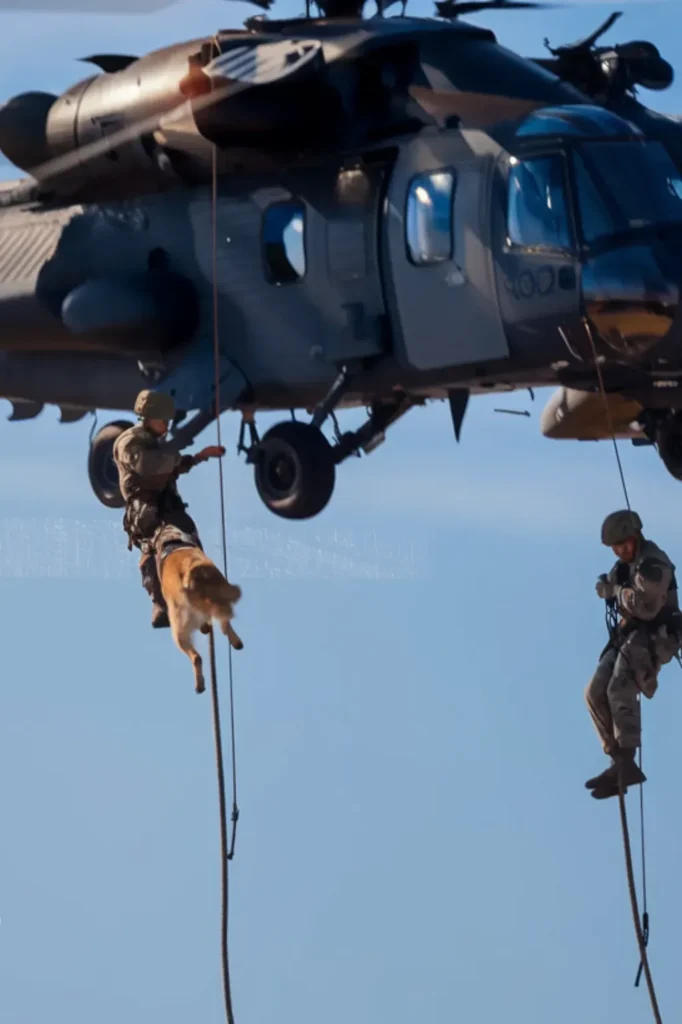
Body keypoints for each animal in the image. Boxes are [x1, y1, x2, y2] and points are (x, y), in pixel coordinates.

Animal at [157, 536, 242, 696]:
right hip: (222, 594)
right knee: (224, 622)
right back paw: (236, 641)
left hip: (179, 631)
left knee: (196, 657)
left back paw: (199, 685)